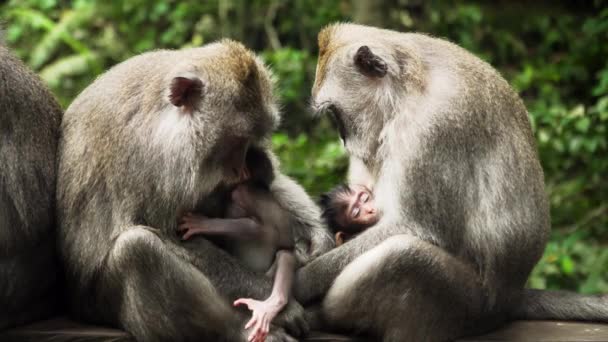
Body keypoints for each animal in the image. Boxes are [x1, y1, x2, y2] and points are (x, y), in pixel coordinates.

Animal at [56, 38, 332, 340]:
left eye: (251, 141)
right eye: (235, 141)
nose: (239, 169)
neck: (166, 122)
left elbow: (266, 183)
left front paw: (315, 232)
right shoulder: (156, 167)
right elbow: (176, 235)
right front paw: (277, 302)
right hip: (98, 301)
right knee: (137, 250)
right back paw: (238, 329)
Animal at [292, 22, 604, 340]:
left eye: (335, 113)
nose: (344, 140)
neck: (407, 89)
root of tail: (512, 297)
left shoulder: (432, 127)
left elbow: (415, 227)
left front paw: (302, 280)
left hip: (468, 306)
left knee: (402, 256)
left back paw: (324, 316)